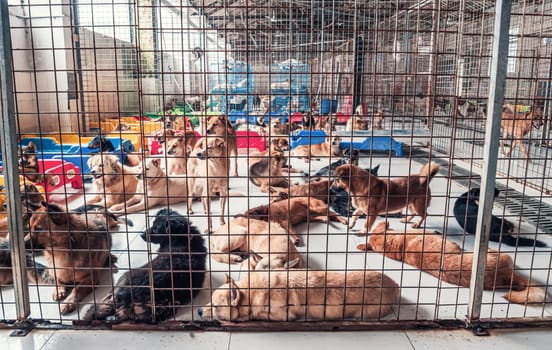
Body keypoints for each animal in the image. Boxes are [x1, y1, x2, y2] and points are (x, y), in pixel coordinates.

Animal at [198, 270, 402, 322]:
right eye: (209, 301)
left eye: (216, 307)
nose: (199, 311)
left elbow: (257, 314)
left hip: (364, 313)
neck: (250, 292)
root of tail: (396, 286)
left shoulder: (281, 315)